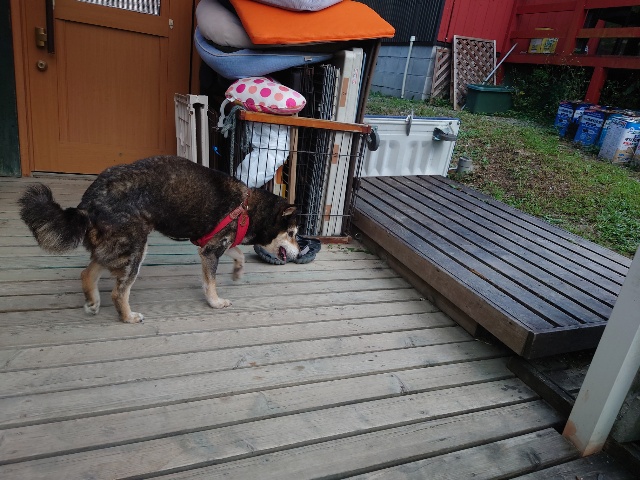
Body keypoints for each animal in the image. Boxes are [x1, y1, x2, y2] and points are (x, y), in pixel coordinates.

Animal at [19, 155, 300, 323]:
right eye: (293, 234)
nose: (300, 250)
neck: (247, 209)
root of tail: (88, 203)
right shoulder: (210, 250)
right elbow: (211, 283)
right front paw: (215, 302)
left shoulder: (213, 244)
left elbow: (238, 253)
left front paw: (238, 272)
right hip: (135, 247)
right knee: (119, 292)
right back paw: (128, 316)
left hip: (116, 245)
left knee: (87, 273)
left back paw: (92, 302)